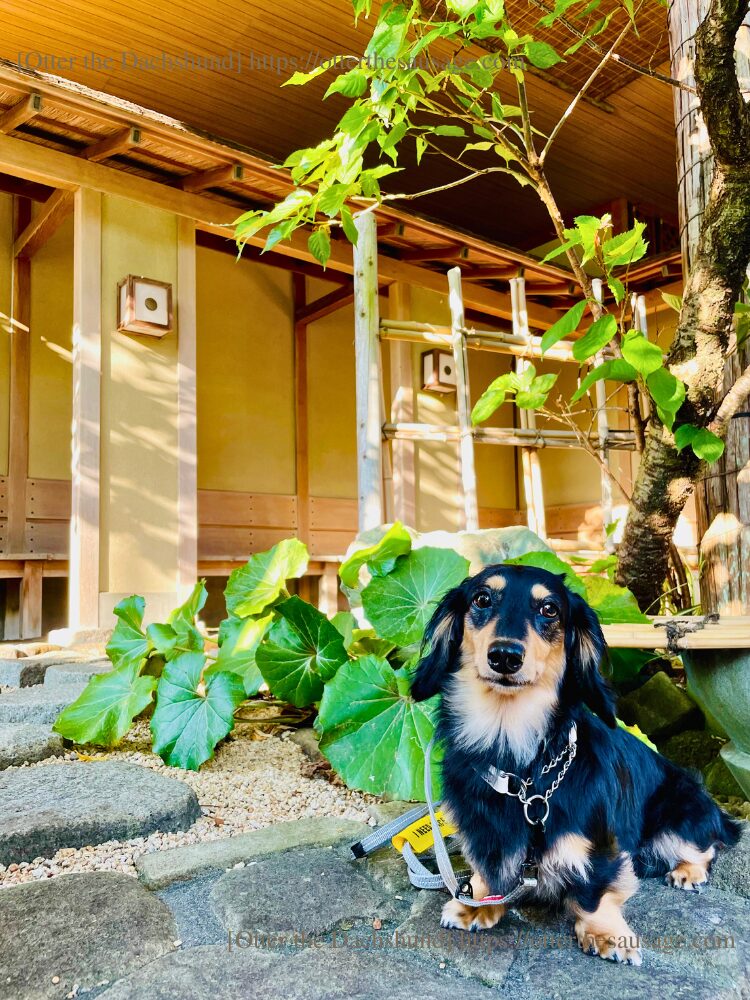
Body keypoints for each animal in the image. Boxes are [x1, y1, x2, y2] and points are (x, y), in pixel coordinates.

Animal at [414, 564, 744, 960]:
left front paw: (606, 932)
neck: (518, 763)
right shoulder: (481, 831)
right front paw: (478, 902)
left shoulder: (601, 845)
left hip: (679, 818)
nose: (505, 656)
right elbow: (487, 870)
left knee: (706, 846)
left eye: (550, 609)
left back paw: (688, 872)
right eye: (481, 599)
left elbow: (594, 893)